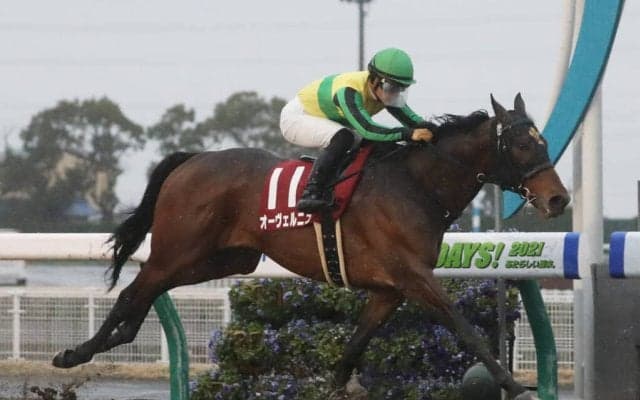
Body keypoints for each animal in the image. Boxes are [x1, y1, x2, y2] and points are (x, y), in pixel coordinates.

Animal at [52, 94, 568, 400]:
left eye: (542, 140)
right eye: (522, 145)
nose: (558, 199)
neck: (416, 186)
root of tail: (192, 160)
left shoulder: (389, 290)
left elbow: (353, 348)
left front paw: (332, 387)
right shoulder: (415, 277)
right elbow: (464, 327)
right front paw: (512, 384)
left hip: (225, 258)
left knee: (147, 291)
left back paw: (116, 339)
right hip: (178, 249)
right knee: (135, 289)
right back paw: (76, 353)